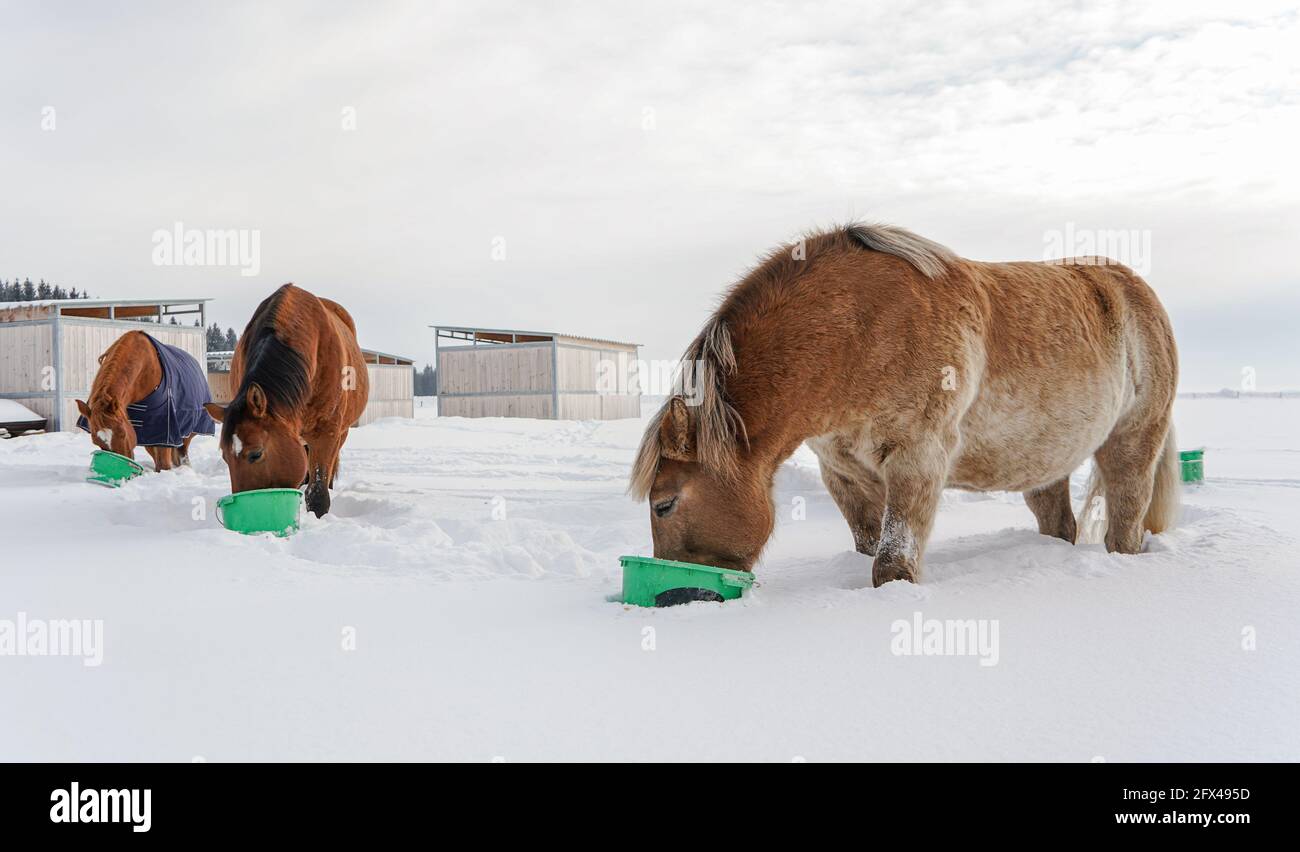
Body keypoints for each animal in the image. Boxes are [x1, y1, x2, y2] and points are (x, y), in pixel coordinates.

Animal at [75, 330, 214, 470]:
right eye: (95, 441)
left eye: (122, 433)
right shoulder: (150, 436)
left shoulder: (164, 432)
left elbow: (164, 464)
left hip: (187, 431)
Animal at [629, 225, 1180, 587]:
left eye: (664, 503)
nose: (680, 593)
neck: (858, 335)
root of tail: (1139, 292)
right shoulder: (844, 473)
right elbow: (867, 545)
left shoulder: (917, 459)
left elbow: (892, 564)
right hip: (1045, 462)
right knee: (1060, 525)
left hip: (1132, 442)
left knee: (1125, 523)